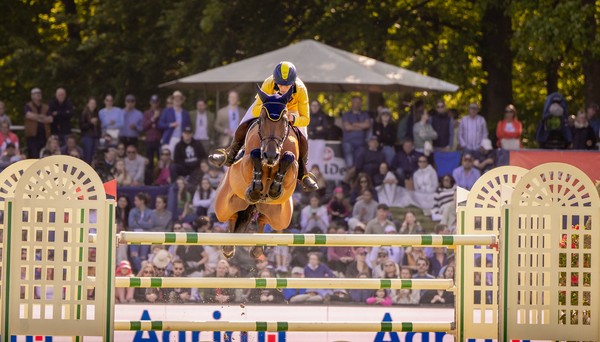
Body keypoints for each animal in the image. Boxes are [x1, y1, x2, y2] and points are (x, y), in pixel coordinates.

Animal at [216, 85, 300, 260]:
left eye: (284, 120)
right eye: (261, 119)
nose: (270, 155)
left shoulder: (293, 170)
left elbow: (289, 158)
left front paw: (274, 188)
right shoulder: (245, 162)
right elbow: (254, 154)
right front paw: (255, 187)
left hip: (280, 217)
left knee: (262, 219)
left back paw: (256, 249)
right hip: (223, 206)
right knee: (231, 215)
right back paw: (229, 247)